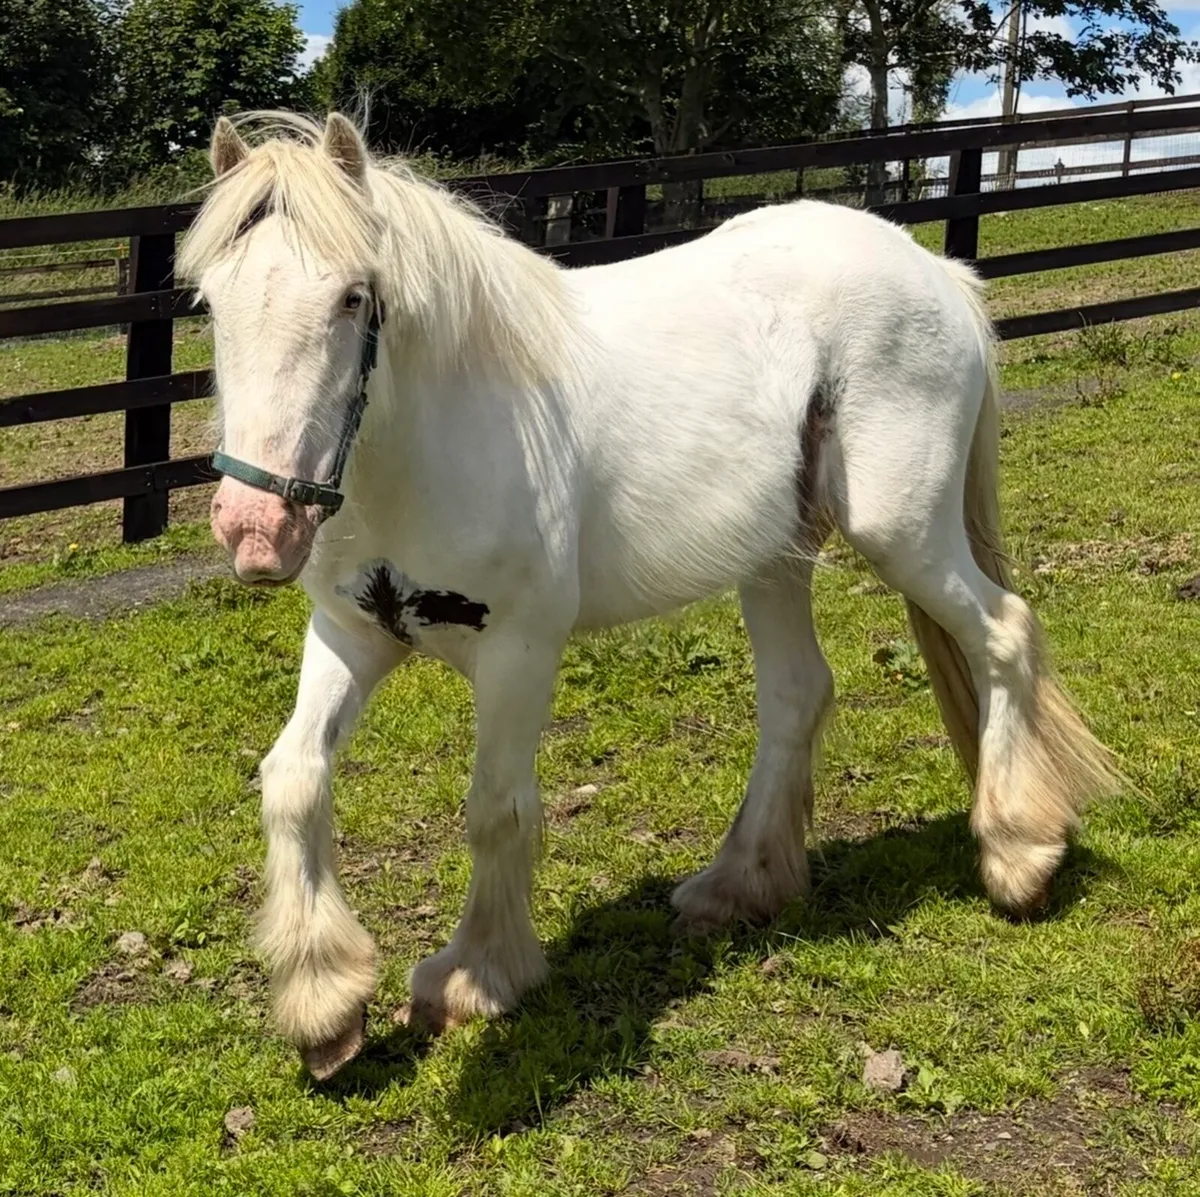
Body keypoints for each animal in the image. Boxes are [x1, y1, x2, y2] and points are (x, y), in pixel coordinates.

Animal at [179, 111, 1120, 1080]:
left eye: (355, 298)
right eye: (209, 303)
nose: (257, 527)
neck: (436, 437)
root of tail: (939, 273)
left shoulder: (519, 649)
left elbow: (495, 807)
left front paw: (476, 975)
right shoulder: (351, 633)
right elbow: (294, 778)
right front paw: (324, 1004)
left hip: (902, 531)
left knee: (1003, 634)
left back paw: (1019, 853)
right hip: (775, 556)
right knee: (797, 693)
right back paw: (739, 884)